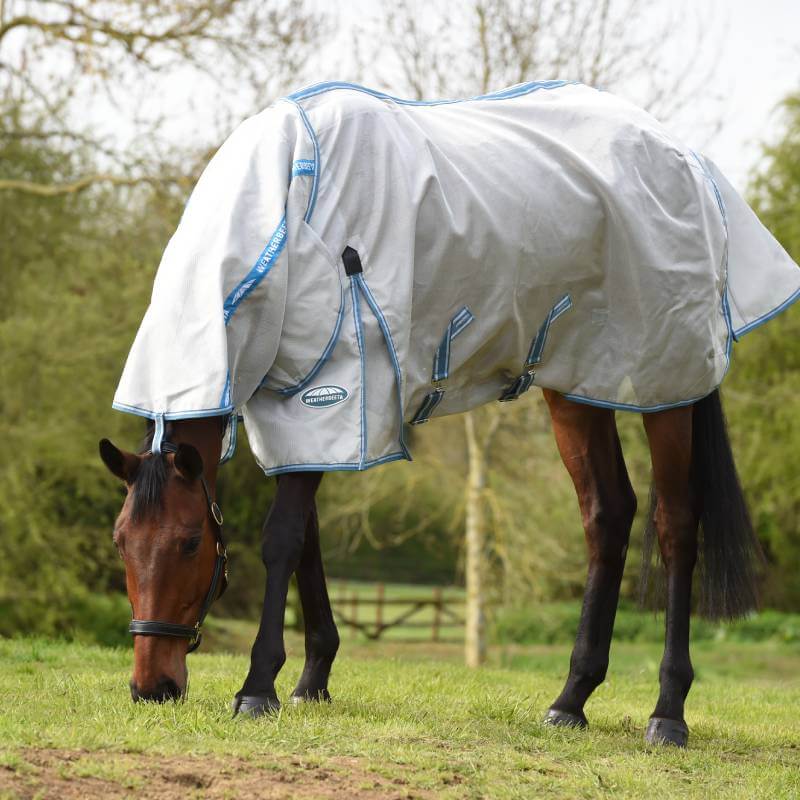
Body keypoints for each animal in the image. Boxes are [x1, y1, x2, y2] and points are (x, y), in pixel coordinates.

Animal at [100, 80, 799, 748]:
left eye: (191, 542)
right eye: (121, 542)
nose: (152, 687)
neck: (288, 214)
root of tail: (682, 157)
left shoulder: (330, 392)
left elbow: (282, 540)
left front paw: (257, 688)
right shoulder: (302, 414)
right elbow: (308, 543)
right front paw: (312, 679)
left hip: (666, 385)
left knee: (676, 523)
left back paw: (667, 713)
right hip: (577, 383)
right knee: (607, 514)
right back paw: (570, 700)